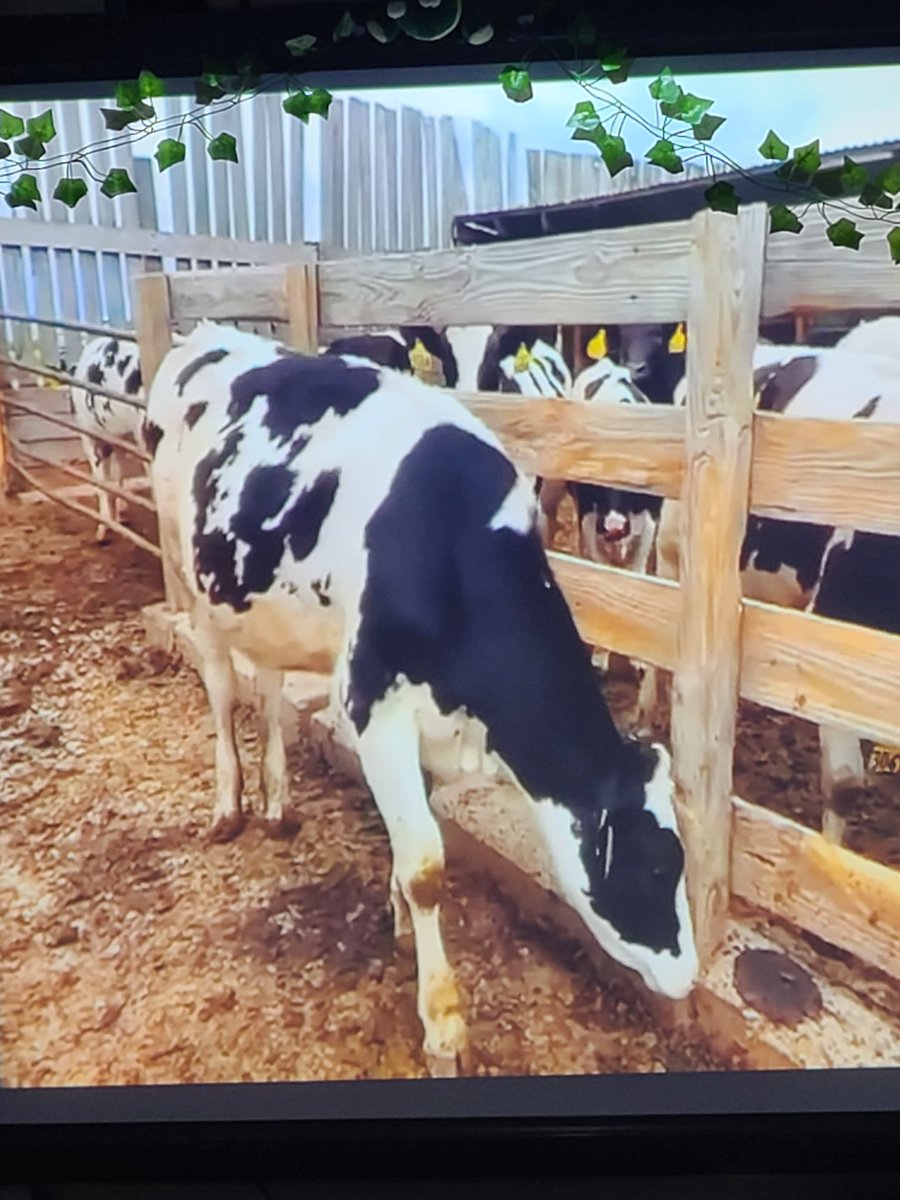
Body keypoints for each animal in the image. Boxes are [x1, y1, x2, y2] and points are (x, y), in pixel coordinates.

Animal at [146, 319, 698, 1075]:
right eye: (657, 864)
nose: (688, 977)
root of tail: (205, 333)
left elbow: (417, 837)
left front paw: (400, 917)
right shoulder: (373, 708)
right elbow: (429, 866)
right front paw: (443, 1022)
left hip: (268, 607)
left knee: (269, 684)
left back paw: (278, 802)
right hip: (189, 568)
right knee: (223, 686)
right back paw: (230, 804)